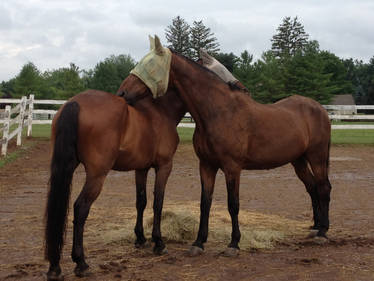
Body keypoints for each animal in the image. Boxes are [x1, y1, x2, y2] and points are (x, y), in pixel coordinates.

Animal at [45, 84, 186, 276]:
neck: (162, 111)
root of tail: (75, 103)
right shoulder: (164, 166)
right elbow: (158, 202)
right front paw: (158, 243)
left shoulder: (141, 169)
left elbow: (141, 201)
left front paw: (140, 238)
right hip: (97, 176)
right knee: (81, 208)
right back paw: (81, 263)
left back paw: (54, 266)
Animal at [121, 36, 332, 256]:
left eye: (151, 64)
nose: (122, 92)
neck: (219, 112)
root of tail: (319, 108)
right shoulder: (206, 165)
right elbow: (205, 203)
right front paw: (198, 242)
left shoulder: (232, 168)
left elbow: (233, 204)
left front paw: (234, 244)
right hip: (299, 160)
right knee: (312, 187)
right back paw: (316, 227)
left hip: (317, 157)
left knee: (324, 187)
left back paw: (323, 232)